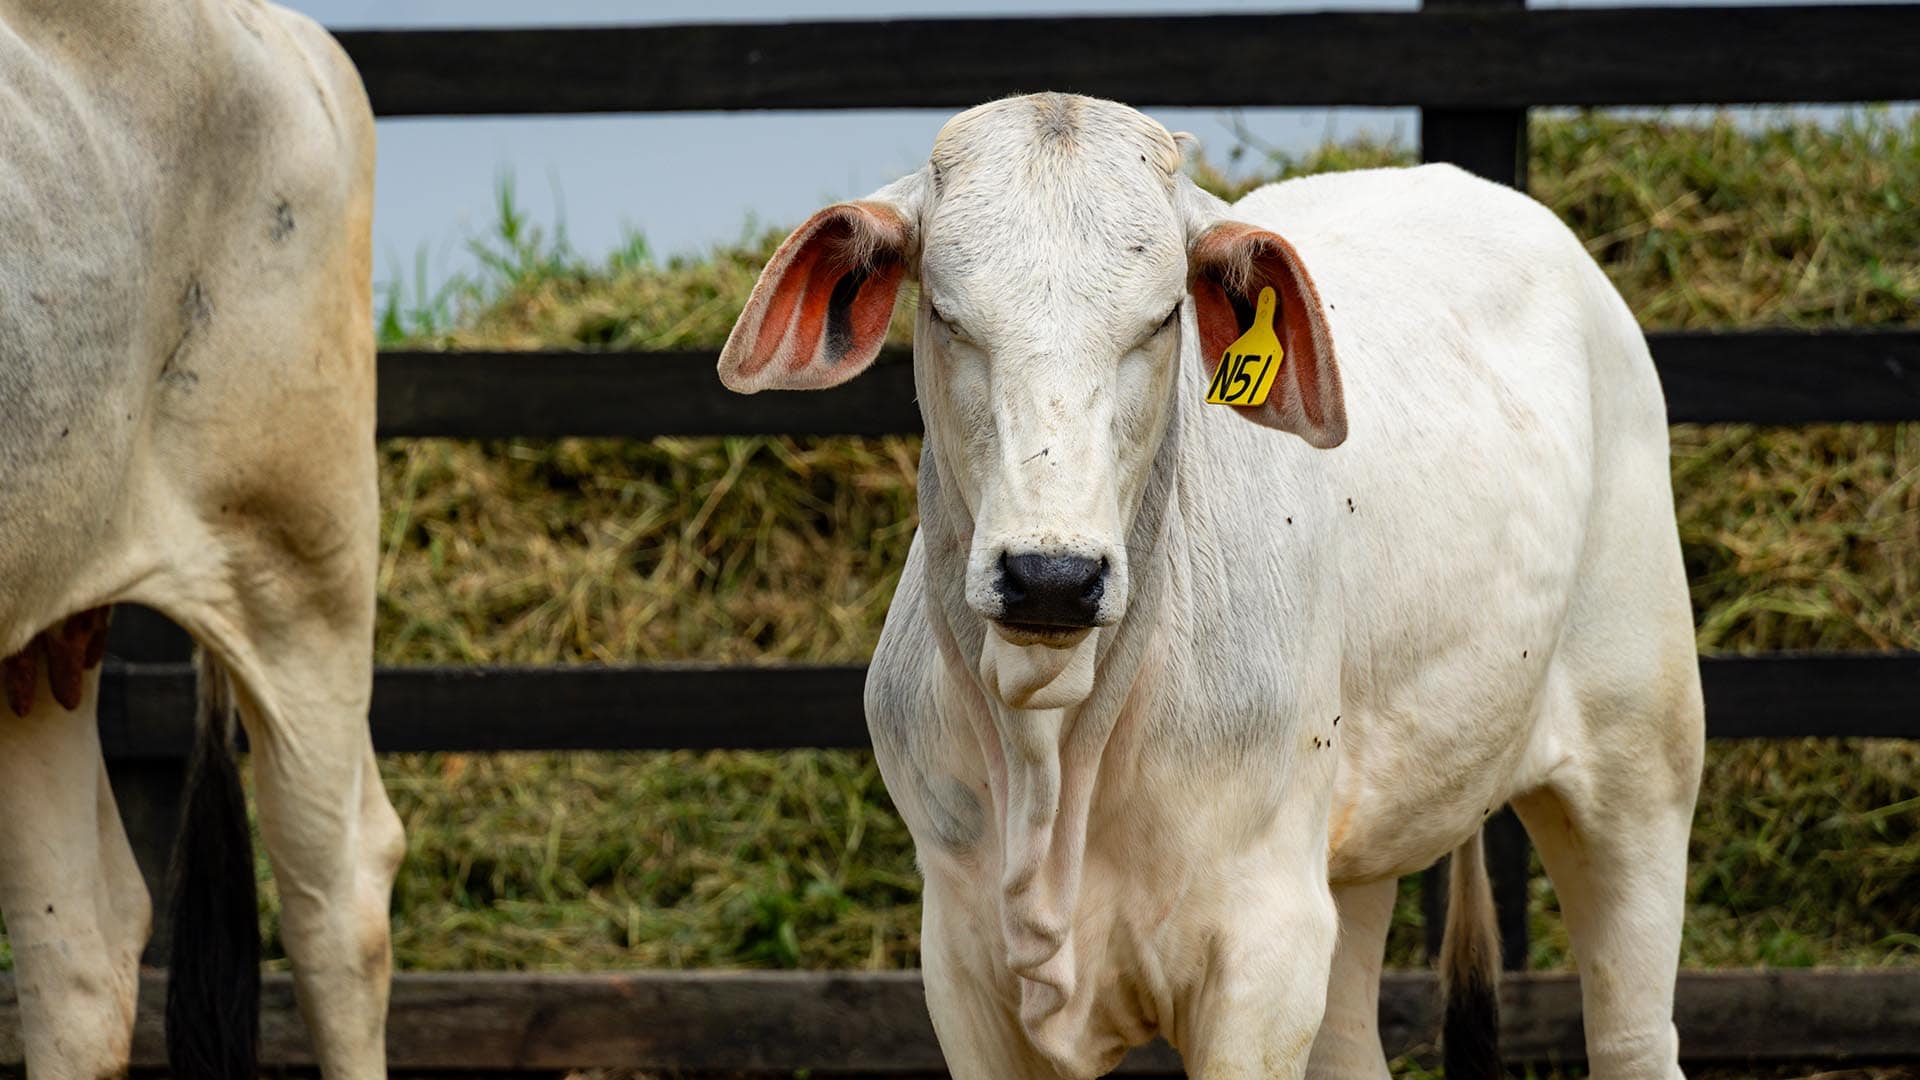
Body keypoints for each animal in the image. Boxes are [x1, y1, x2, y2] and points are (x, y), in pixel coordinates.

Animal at [718, 94, 1703, 1080]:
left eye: (1161, 318)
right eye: (947, 313)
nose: (1051, 578)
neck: (1050, 753)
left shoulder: (1264, 959)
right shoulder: (961, 966)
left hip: (1639, 772)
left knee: (1632, 1034)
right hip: (1352, 868)